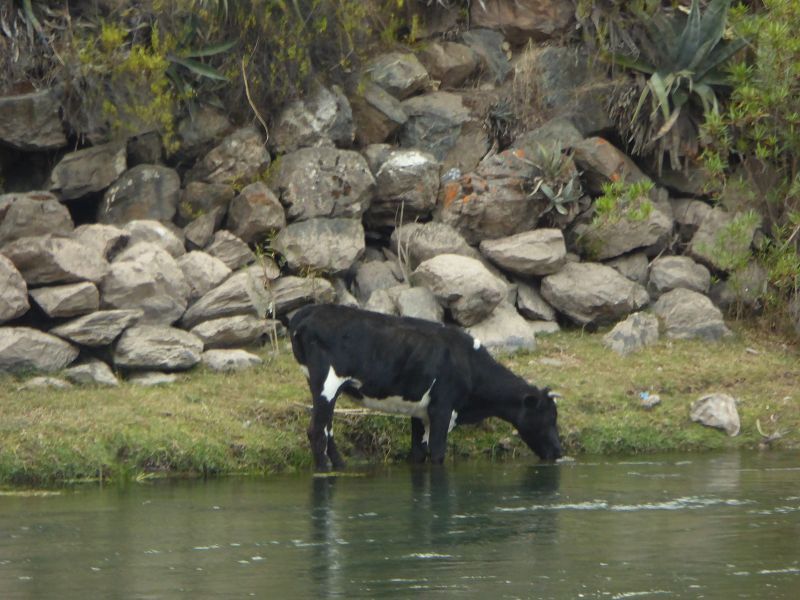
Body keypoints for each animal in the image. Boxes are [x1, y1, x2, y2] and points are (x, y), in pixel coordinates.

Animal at [290, 308, 564, 472]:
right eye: (549, 417)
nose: (559, 451)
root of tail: (309, 312)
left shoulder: (420, 412)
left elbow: (418, 452)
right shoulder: (442, 408)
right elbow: (438, 452)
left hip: (322, 386)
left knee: (328, 430)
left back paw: (341, 468)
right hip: (327, 383)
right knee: (317, 431)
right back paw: (324, 471)